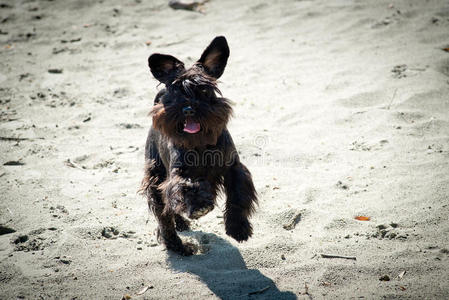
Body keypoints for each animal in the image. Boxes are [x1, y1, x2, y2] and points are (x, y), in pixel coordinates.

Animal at [142, 35, 258, 255]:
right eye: (175, 90)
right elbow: (185, 186)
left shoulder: (233, 167)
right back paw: (179, 246)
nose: (188, 109)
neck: (200, 144)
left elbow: (238, 195)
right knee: (164, 217)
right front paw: (198, 206)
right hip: (155, 176)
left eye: (204, 89)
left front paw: (238, 228)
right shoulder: (177, 173)